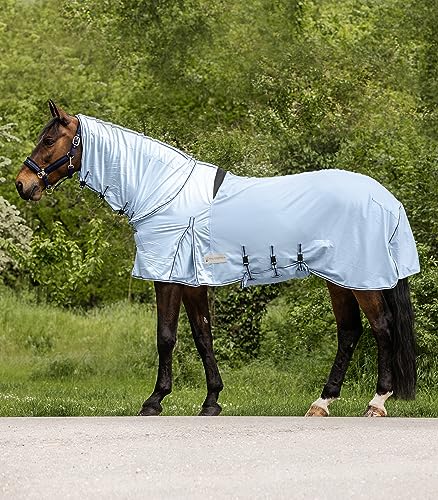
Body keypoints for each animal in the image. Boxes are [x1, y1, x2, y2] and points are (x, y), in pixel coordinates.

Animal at [15, 99, 420, 416]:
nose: (22, 184)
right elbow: (202, 335)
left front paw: (154, 400)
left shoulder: (168, 278)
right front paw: (211, 401)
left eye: (48, 140)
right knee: (350, 332)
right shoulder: (192, 282)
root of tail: (387, 199)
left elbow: (166, 336)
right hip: (340, 279)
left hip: (362, 280)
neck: (161, 190)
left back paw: (376, 402)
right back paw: (322, 403)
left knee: (382, 328)